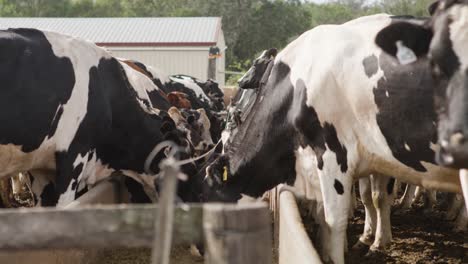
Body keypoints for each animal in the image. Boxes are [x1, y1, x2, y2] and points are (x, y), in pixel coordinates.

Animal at [204, 14, 460, 264]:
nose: (240, 83)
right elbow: (358, 201)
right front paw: (362, 241)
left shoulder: (336, 156)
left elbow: (343, 215)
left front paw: (366, 243)